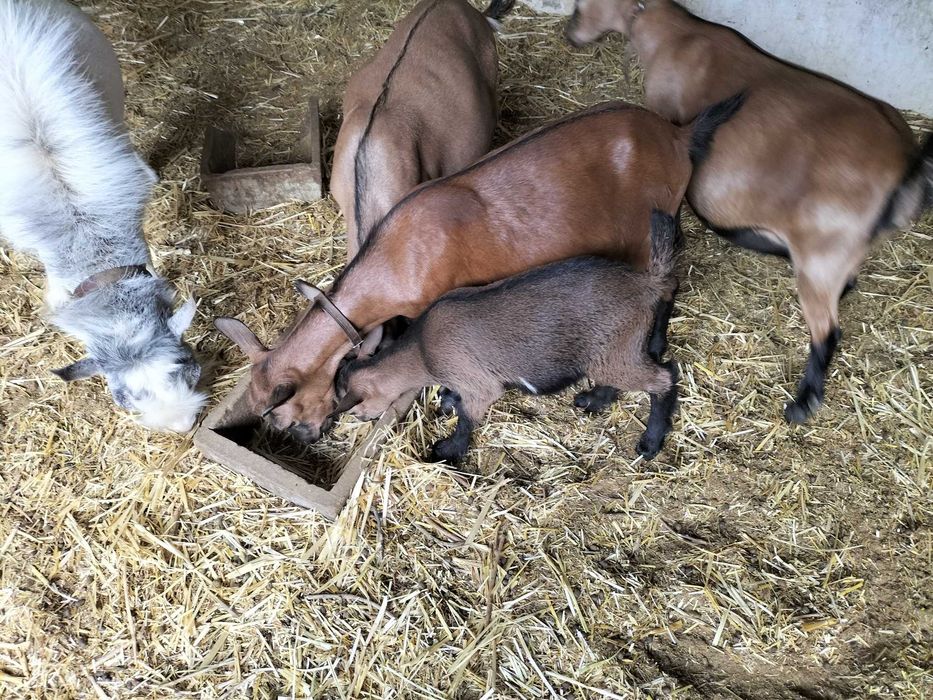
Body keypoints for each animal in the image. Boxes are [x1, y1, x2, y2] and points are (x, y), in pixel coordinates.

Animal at [335, 210, 681, 464]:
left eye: (353, 409)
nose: (360, 421)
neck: (420, 350)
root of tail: (644, 283)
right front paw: (447, 400)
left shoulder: (478, 384)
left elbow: (468, 417)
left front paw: (448, 451)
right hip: (611, 350)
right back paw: (593, 400)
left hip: (616, 350)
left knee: (664, 376)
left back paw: (650, 442)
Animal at [566, 0, 933, 423]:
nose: (570, 35)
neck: (676, 35)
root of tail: (906, 165)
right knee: (847, 285)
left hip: (822, 256)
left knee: (827, 331)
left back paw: (802, 403)